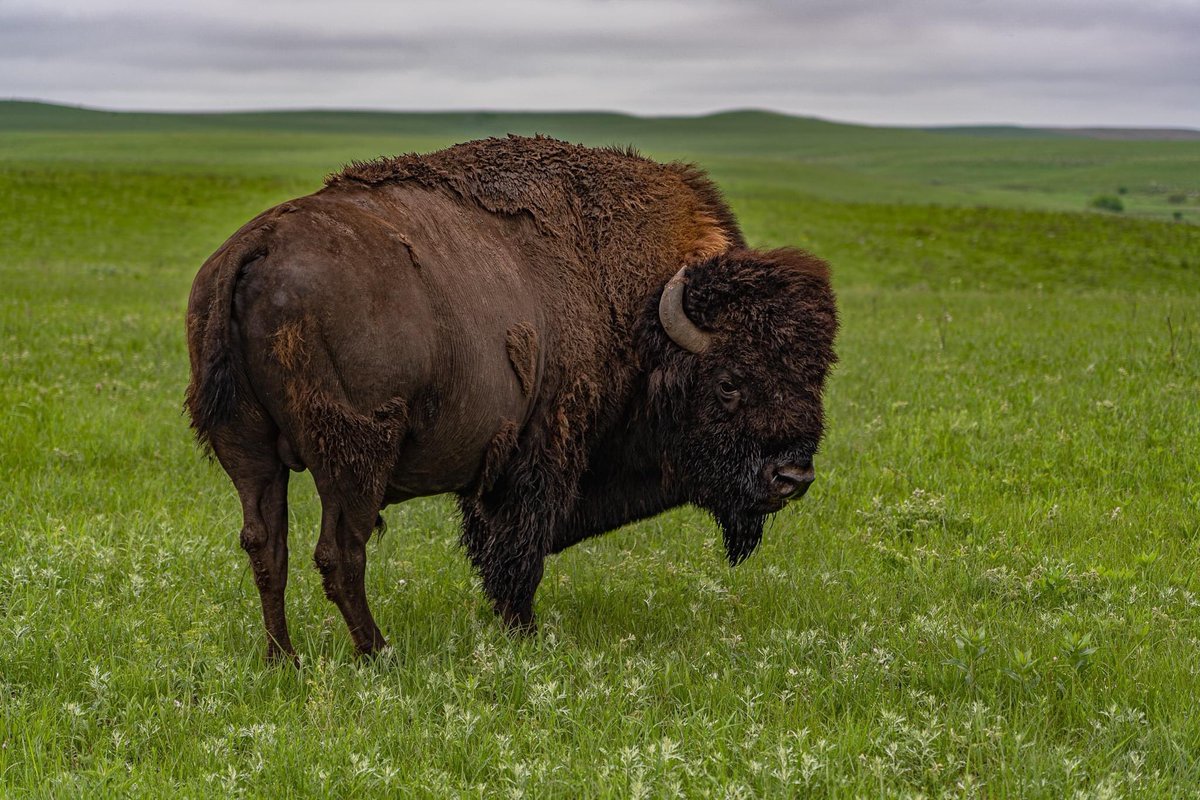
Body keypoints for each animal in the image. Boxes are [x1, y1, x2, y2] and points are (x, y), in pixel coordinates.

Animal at [186, 135, 838, 661]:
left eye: (817, 374)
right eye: (729, 382)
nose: (792, 477)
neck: (642, 316)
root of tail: (257, 247)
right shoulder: (538, 457)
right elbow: (520, 551)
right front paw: (522, 629)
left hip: (248, 452)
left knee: (266, 545)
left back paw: (284, 659)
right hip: (353, 457)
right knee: (338, 552)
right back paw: (378, 653)